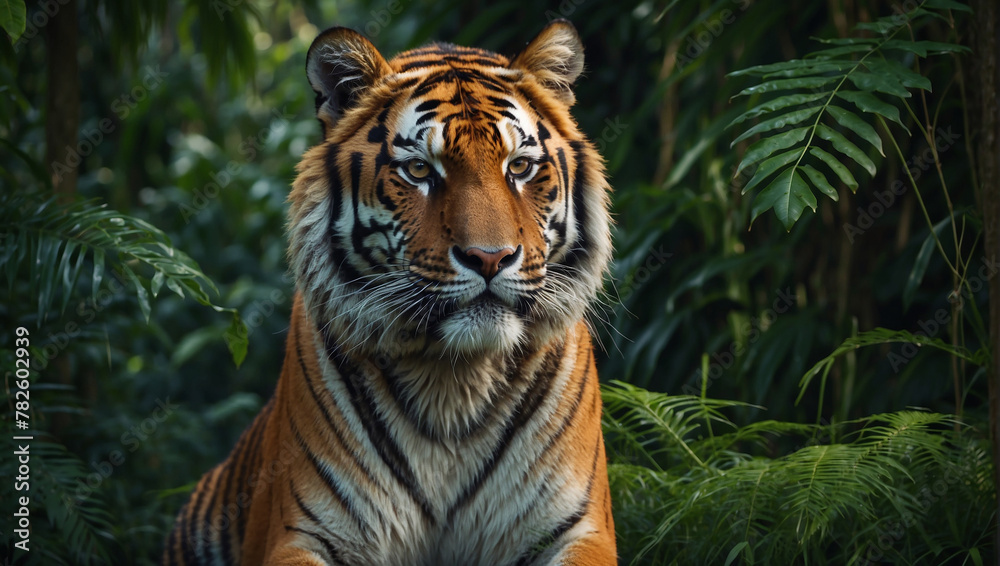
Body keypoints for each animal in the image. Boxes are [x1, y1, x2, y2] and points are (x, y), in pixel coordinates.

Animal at [163, 18, 616, 566]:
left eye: (520, 167)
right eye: (419, 170)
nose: (490, 258)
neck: (453, 383)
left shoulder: (577, 526)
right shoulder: (305, 531)